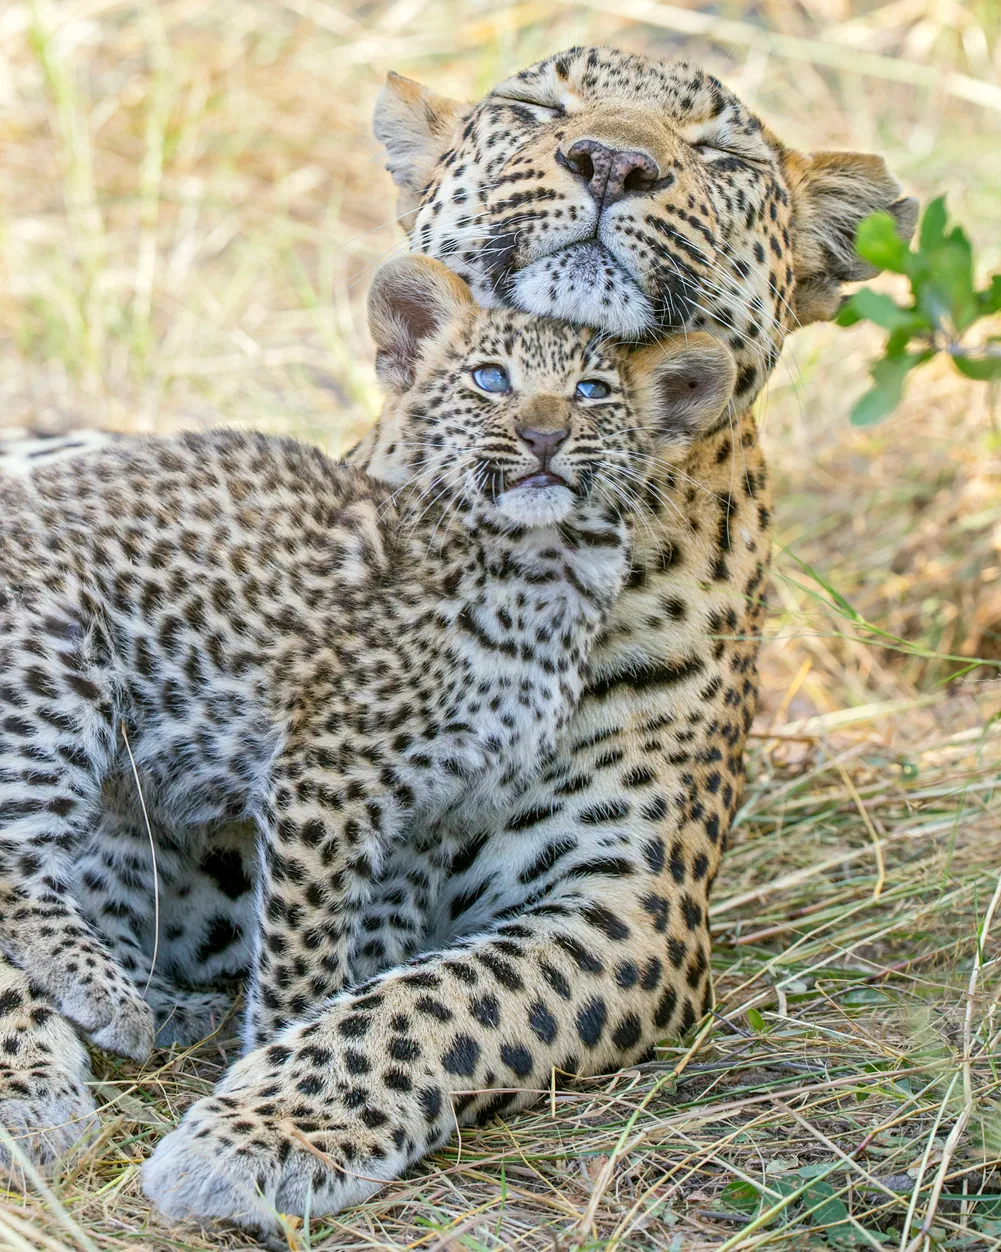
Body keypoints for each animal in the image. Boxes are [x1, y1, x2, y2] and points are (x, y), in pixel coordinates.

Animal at [0, 44, 915, 1226]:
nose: (612, 161)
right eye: (536, 107)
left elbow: (429, 1001)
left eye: (720, 153)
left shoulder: (627, 907)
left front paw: (261, 1128)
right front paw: (40, 1079)